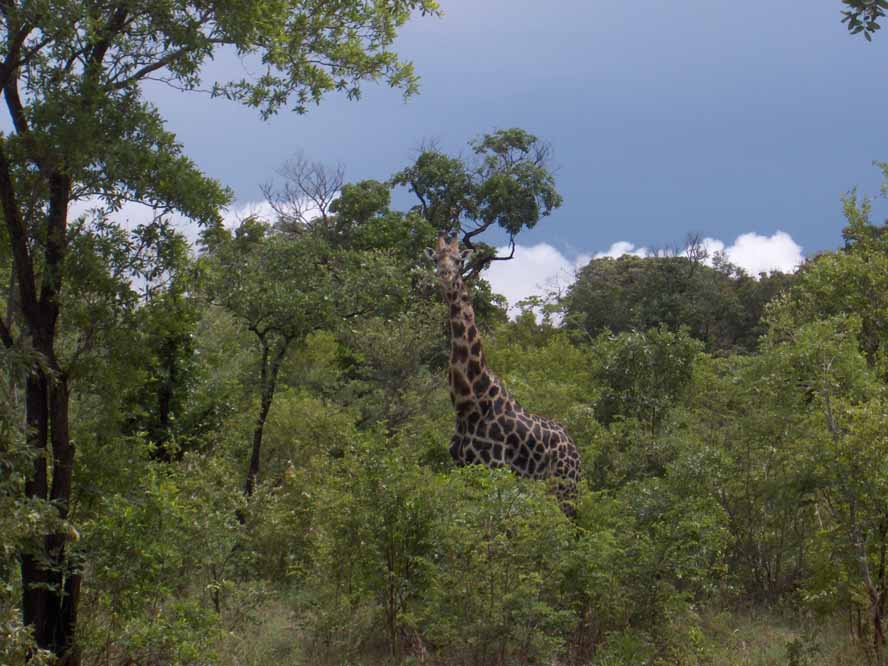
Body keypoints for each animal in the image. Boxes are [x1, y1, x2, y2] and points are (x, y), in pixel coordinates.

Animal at [424, 235, 584, 512]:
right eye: (436, 259)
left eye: (459, 260)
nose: (445, 274)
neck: (469, 403)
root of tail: (575, 449)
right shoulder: (462, 467)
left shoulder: (492, 467)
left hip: (566, 488)